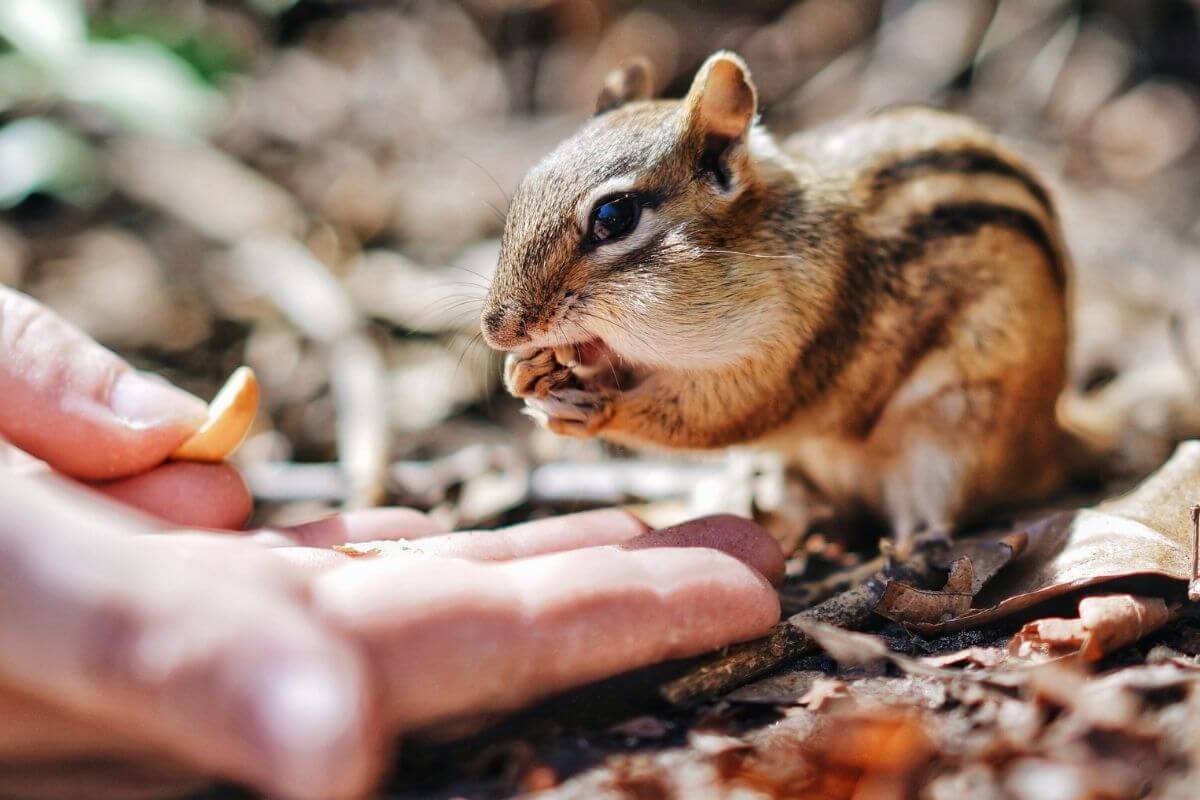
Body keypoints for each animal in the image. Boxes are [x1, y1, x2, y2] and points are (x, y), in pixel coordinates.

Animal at [481, 51, 1074, 551]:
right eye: (527, 186)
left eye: (614, 216)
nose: (497, 330)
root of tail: (1049, 445)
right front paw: (523, 373)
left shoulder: (794, 350)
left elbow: (716, 416)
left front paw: (597, 410)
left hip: (946, 447)